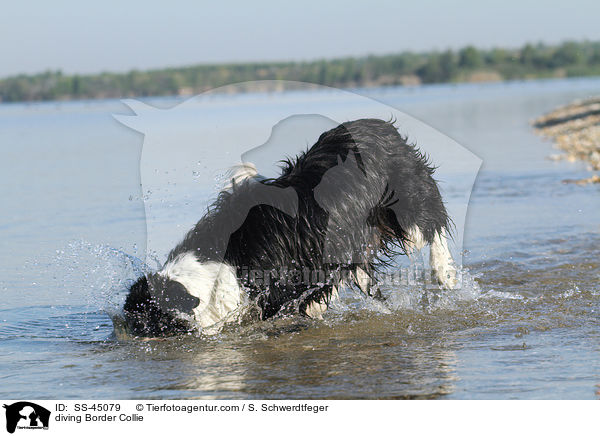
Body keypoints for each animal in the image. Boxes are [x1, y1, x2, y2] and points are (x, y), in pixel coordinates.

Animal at [123, 119, 460, 338]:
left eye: (149, 324)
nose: (122, 333)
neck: (223, 263)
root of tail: (380, 125)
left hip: (406, 201)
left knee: (432, 223)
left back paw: (444, 271)